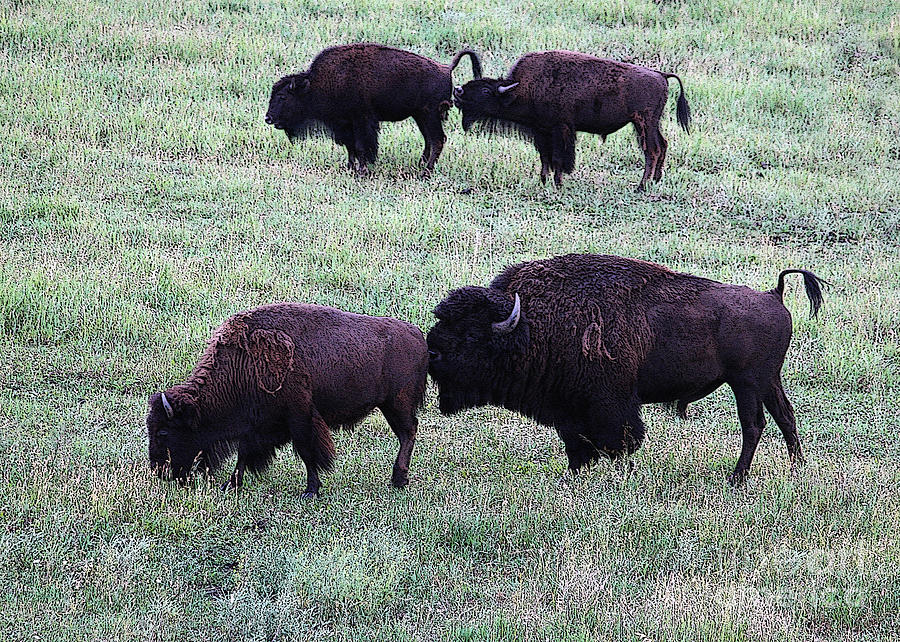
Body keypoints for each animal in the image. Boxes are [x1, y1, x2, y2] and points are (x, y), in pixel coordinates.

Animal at [146, 302, 428, 498]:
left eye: (163, 432)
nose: (158, 470)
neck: (242, 364)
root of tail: (418, 336)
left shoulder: (299, 416)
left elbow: (306, 451)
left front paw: (311, 490)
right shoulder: (257, 425)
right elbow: (244, 453)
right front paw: (231, 484)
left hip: (396, 404)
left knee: (408, 432)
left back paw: (398, 479)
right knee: (408, 433)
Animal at [264, 42, 482, 175]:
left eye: (282, 96)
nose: (268, 118)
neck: (316, 84)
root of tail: (446, 69)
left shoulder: (362, 121)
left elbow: (362, 146)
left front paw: (362, 171)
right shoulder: (345, 124)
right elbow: (350, 147)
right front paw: (350, 168)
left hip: (429, 115)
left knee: (437, 140)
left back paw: (425, 173)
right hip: (420, 116)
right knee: (429, 140)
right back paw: (420, 166)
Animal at [426, 252, 828, 482]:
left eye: (471, 334)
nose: (432, 354)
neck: (527, 322)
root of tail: (773, 295)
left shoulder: (610, 402)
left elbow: (621, 440)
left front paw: (620, 472)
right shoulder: (569, 409)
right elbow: (577, 444)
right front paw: (574, 474)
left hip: (746, 382)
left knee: (754, 424)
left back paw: (736, 479)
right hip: (768, 381)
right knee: (785, 418)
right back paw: (796, 469)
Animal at [454, 50, 692, 190]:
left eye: (486, 90)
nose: (458, 92)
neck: (518, 90)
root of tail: (661, 75)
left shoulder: (561, 130)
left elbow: (559, 158)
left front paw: (558, 183)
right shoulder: (541, 132)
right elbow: (545, 157)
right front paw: (543, 180)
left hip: (644, 122)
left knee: (652, 150)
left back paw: (642, 185)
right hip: (651, 123)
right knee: (663, 145)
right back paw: (656, 179)